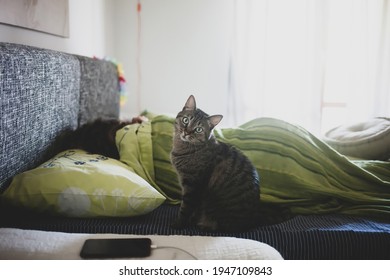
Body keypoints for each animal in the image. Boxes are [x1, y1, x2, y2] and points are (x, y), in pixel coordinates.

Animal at [171, 95, 260, 231]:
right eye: (186, 120)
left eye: (198, 129)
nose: (186, 132)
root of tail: (251, 223)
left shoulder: (193, 186)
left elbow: (186, 208)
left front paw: (178, 223)